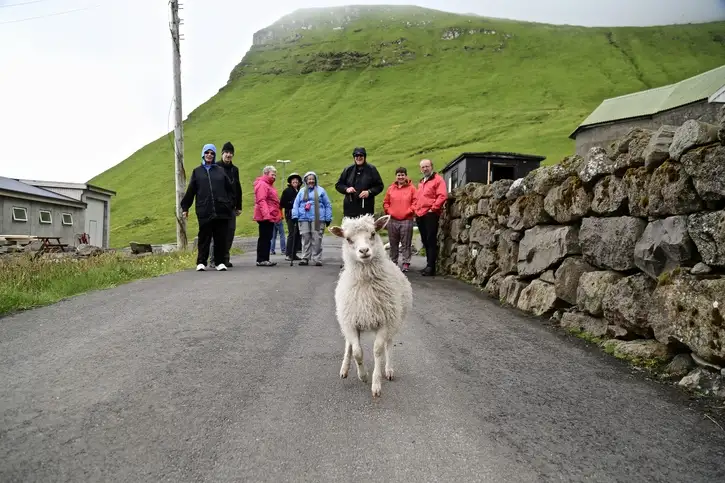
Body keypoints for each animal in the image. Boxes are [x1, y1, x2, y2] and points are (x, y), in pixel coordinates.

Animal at [328, 216, 412, 398]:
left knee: (389, 344)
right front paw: (363, 375)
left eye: (373, 233)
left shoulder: (385, 322)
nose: (364, 251)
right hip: (347, 317)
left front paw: (376, 383)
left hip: (394, 320)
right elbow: (357, 352)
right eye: (348, 239)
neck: (366, 282)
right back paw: (344, 369)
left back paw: (388, 370)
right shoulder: (351, 322)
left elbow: (378, 351)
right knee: (349, 344)